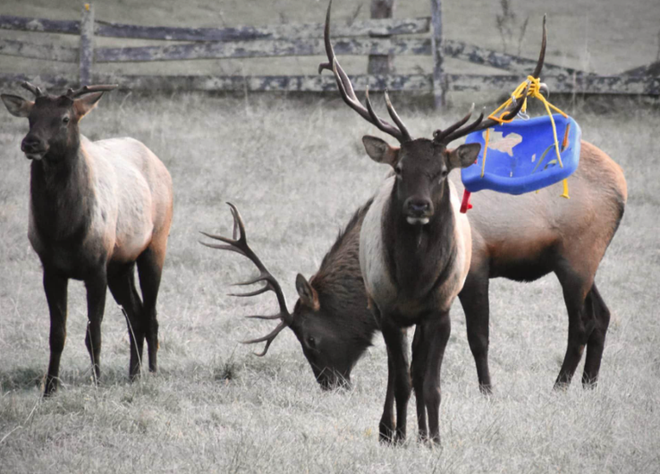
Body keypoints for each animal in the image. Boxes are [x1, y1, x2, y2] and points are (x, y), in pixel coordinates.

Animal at [1, 83, 173, 396]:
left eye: (65, 118)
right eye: (31, 117)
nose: (31, 143)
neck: (63, 231)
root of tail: (158, 162)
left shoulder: (96, 267)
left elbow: (93, 332)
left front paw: (96, 383)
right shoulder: (51, 269)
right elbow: (57, 333)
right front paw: (50, 388)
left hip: (156, 243)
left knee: (151, 313)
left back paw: (152, 371)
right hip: (121, 263)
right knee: (136, 313)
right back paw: (133, 374)